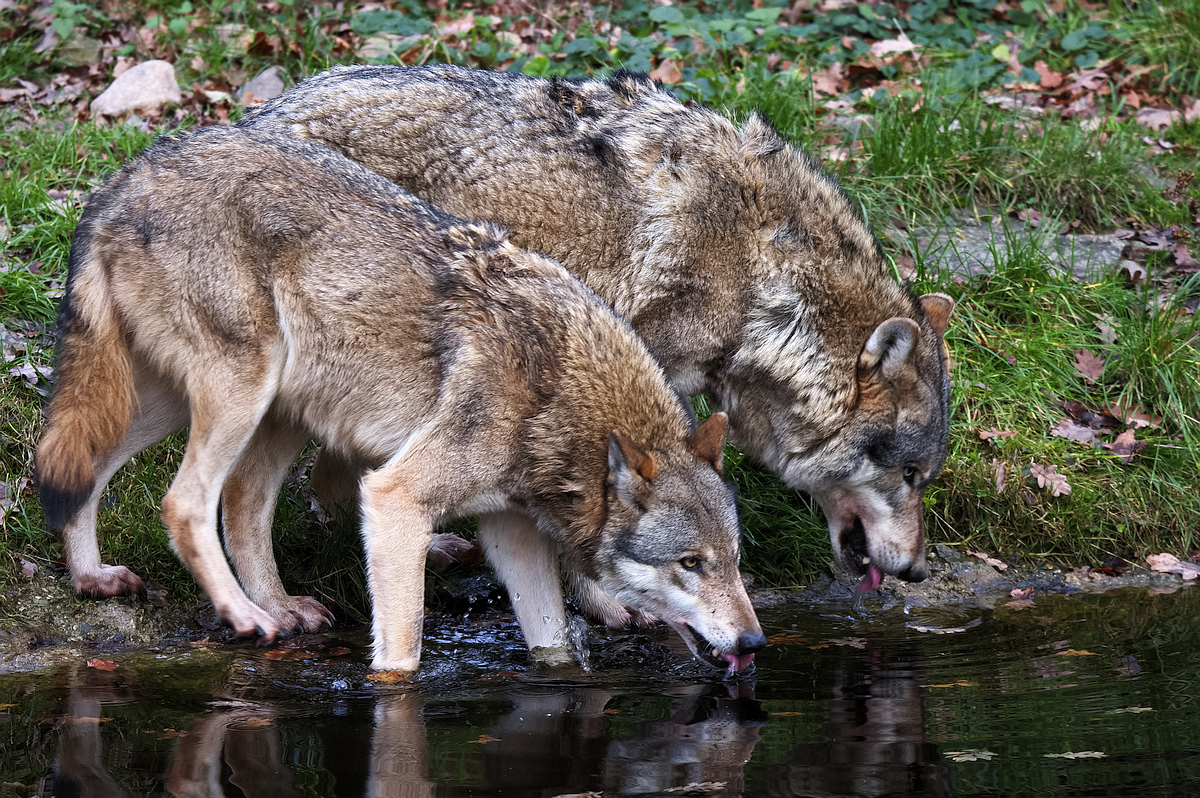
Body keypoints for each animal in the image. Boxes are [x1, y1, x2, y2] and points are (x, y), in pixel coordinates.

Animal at [34, 126, 765, 673]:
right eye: (690, 564)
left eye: (735, 562)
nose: (755, 642)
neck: (556, 391)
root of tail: (123, 178)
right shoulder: (395, 500)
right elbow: (403, 653)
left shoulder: (511, 531)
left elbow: (552, 644)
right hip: (241, 393)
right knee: (185, 503)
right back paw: (246, 615)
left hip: (216, 405)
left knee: (120, 476)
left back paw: (116, 581)